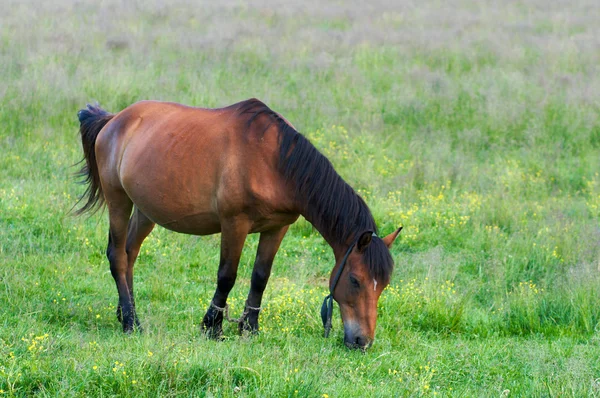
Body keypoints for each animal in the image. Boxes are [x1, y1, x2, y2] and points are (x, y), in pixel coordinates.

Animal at [77, 98, 400, 348]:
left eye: (383, 284)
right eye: (355, 280)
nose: (362, 342)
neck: (274, 161)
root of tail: (114, 119)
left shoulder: (276, 228)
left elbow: (260, 277)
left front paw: (250, 328)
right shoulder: (235, 224)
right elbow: (227, 276)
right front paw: (212, 328)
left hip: (146, 211)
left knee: (130, 254)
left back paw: (125, 312)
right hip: (119, 200)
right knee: (118, 256)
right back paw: (132, 323)